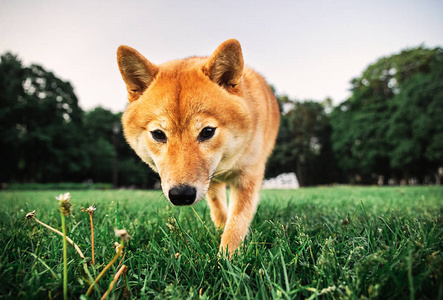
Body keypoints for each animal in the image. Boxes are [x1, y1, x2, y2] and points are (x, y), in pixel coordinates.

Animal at [116, 39, 280, 255]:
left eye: (207, 131)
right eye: (158, 134)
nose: (181, 195)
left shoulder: (247, 176)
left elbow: (237, 222)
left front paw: (227, 257)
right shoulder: (210, 183)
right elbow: (219, 210)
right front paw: (221, 233)